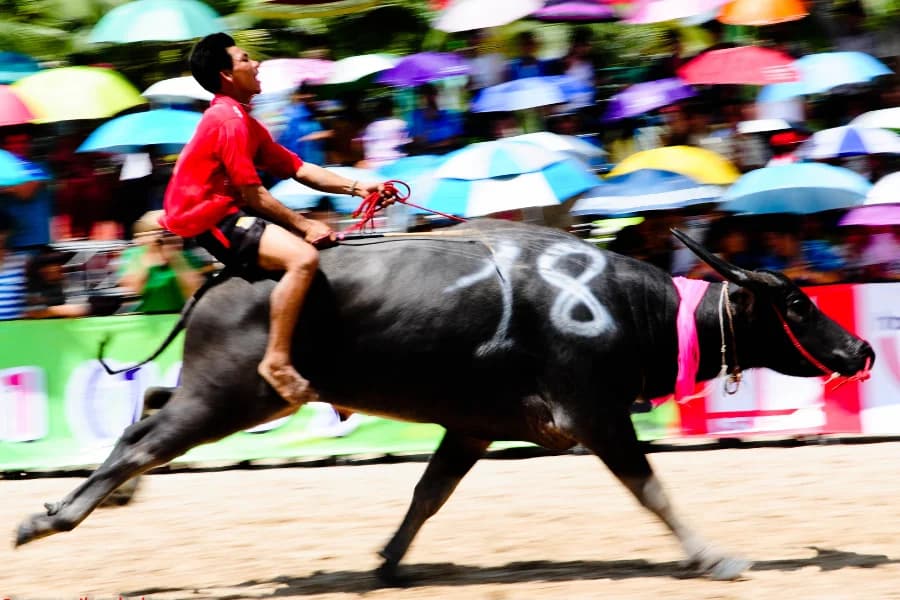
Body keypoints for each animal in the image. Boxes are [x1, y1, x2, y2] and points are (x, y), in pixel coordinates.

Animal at [13, 220, 874, 582]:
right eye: (798, 303)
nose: (862, 351)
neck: (618, 307)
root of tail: (226, 271)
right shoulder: (595, 416)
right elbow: (653, 492)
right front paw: (713, 556)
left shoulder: (468, 429)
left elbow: (427, 496)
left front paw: (389, 562)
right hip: (234, 398)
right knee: (143, 441)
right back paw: (48, 518)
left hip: (225, 395)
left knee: (152, 407)